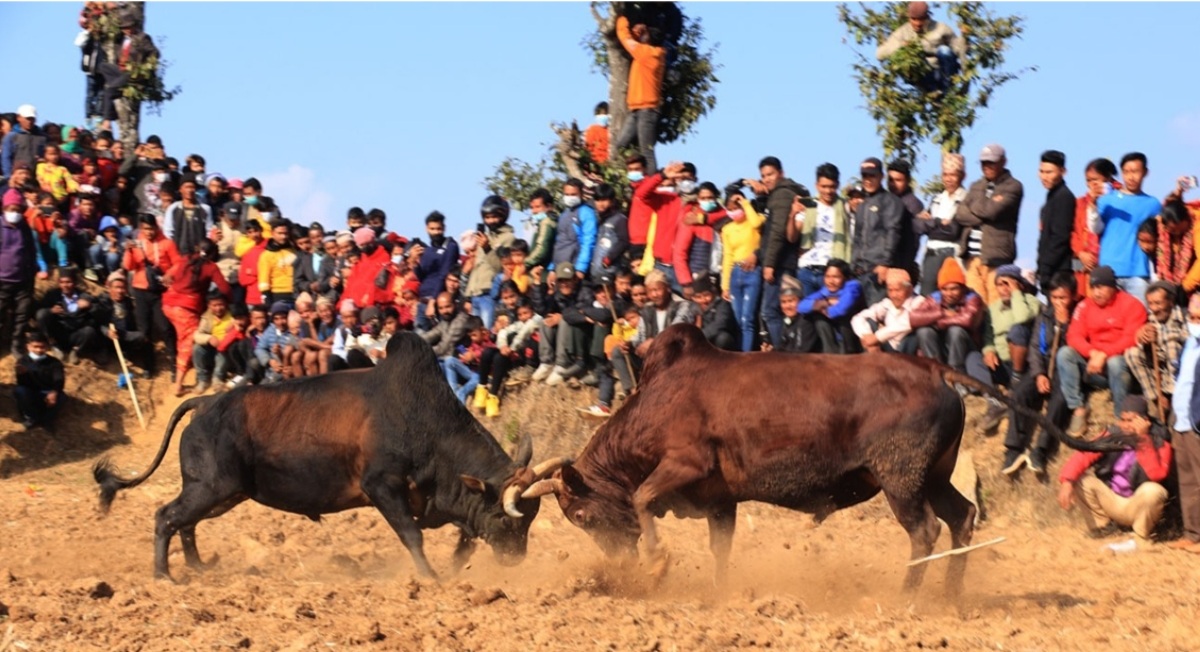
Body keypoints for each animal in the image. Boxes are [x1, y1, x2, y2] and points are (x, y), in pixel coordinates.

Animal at [94, 332, 570, 581]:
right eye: (508, 519)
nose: (516, 559)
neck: (425, 425)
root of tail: (206, 403)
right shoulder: (383, 487)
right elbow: (412, 536)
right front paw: (431, 577)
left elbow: (464, 538)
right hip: (211, 487)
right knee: (166, 517)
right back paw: (164, 576)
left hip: (221, 493)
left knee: (186, 524)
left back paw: (199, 568)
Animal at [522, 324, 1135, 596]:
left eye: (581, 515)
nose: (616, 564)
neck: (659, 400)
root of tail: (931, 366)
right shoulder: (723, 499)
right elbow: (721, 548)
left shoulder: (683, 466)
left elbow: (645, 498)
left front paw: (655, 561)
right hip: (934, 476)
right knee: (961, 518)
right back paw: (949, 595)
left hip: (901, 481)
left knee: (926, 530)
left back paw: (907, 597)